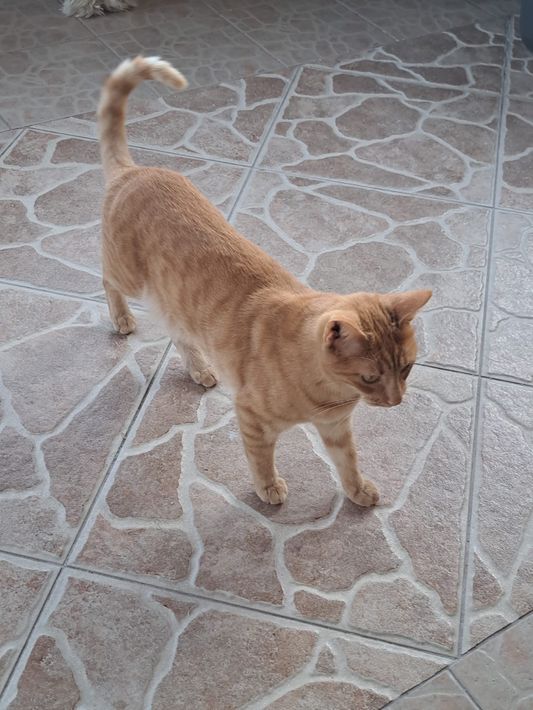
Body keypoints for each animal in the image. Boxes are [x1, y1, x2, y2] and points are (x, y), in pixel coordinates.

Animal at [99, 56, 432, 508]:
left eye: (407, 368)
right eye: (369, 377)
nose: (395, 402)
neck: (330, 394)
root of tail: (135, 171)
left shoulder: (337, 428)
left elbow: (348, 462)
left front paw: (358, 490)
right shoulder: (252, 416)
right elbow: (261, 459)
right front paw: (268, 487)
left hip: (175, 304)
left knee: (179, 334)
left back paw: (199, 368)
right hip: (127, 275)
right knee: (105, 277)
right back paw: (121, 319)